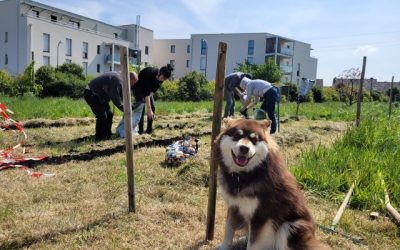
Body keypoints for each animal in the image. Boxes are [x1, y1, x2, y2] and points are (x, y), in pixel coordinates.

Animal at [214, 118, 326, 249]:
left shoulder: (261, 215)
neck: (243, 176)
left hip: (290, 226)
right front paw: (224, 247)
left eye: (254, 140)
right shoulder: (233, 206)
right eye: (237, 136)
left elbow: (252, 244)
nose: (244, 148)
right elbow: (228, 230)